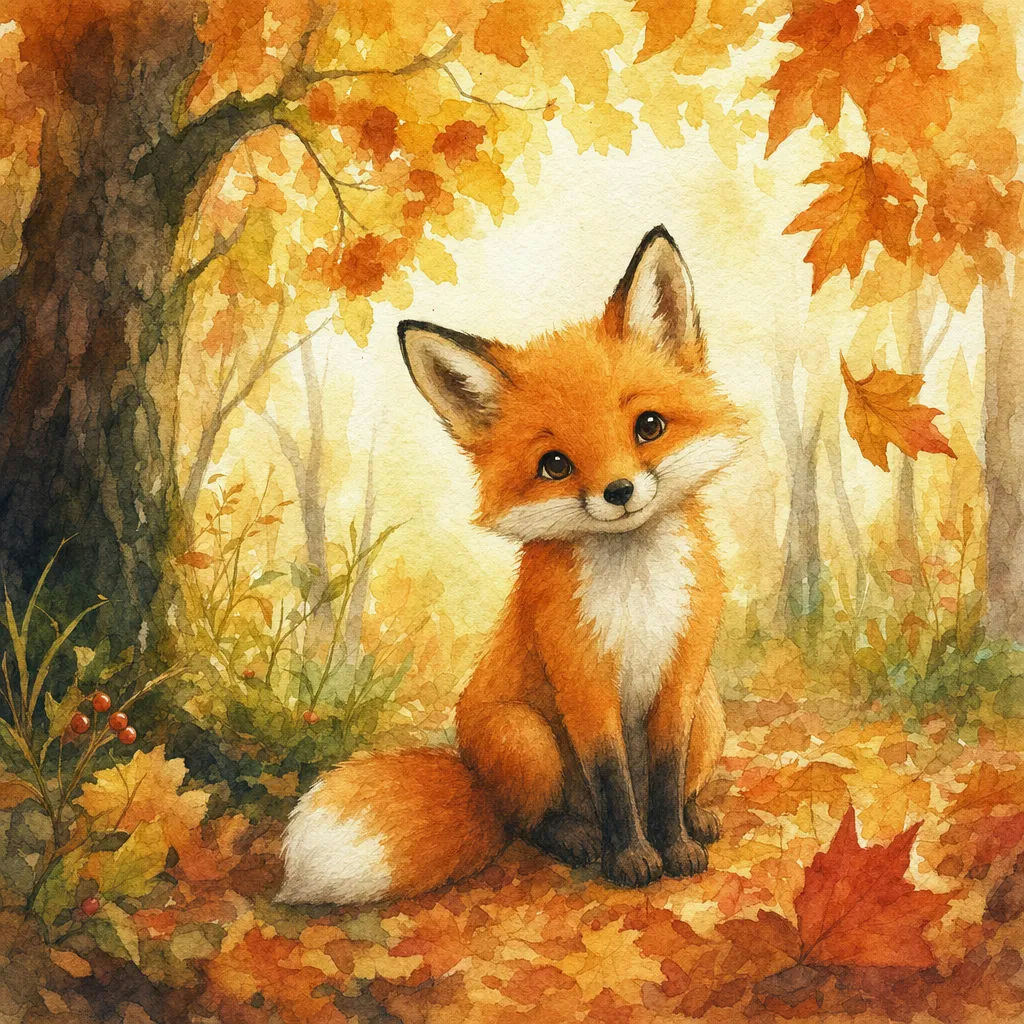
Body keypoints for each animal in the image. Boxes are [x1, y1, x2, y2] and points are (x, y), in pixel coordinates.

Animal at [278, 226, 743, 904]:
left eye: (649, 426)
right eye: (555, 464)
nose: (620, 492)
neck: (635, 592)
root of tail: (474, 775)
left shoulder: (681, 676)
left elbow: (660, 780)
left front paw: (675, 846)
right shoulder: (580, 678)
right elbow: (614, 785)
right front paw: (632, 858)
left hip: (709, 712)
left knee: (677, 782)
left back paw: (696, 816)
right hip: (527, 740)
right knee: (526, 822)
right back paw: (576, 837)